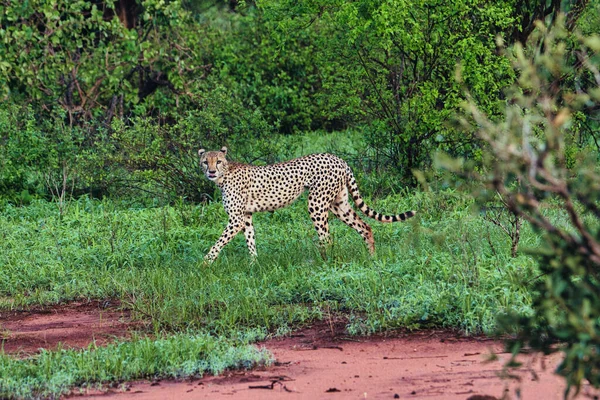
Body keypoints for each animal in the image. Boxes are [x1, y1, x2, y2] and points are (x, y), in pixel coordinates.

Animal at [199, 147, 414, 262]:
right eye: (205, 162)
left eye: (218, 161)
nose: (211, 171)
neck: (224, 175)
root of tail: (339, 158)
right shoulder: (245, 216)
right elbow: (250, 241)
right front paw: (254, 264)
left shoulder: (236, 219)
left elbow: (218, 243)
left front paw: (204, 264)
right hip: (339, 204)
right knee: (364, 226)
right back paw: (371, 257)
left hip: (316, 202)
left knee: (327, 237)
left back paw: (323, 263)